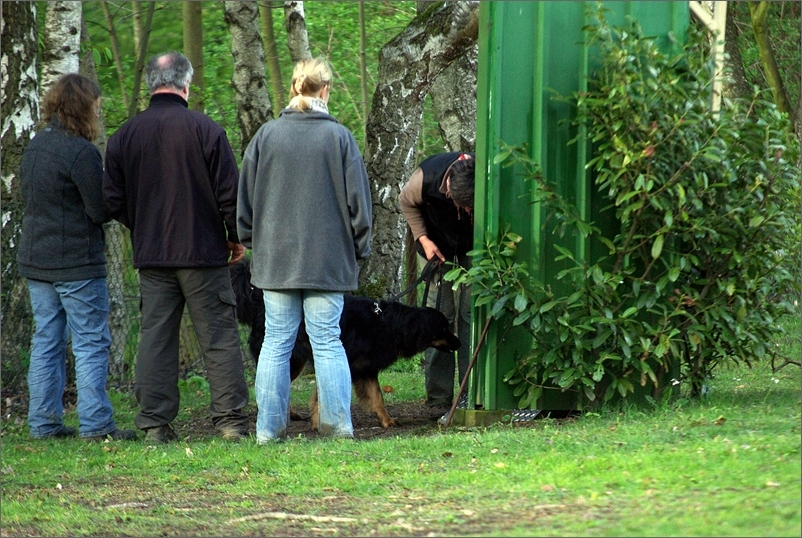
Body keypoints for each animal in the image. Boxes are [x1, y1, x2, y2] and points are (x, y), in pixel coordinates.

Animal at [228, 260, 460, 428]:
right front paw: (319, 424)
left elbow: (378, 397)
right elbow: (322, 396)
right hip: (291, 358)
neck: (387, 324)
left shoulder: (366, 368)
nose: (458, 343)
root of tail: (259, 303)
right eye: (444, 329)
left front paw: (386, 421)